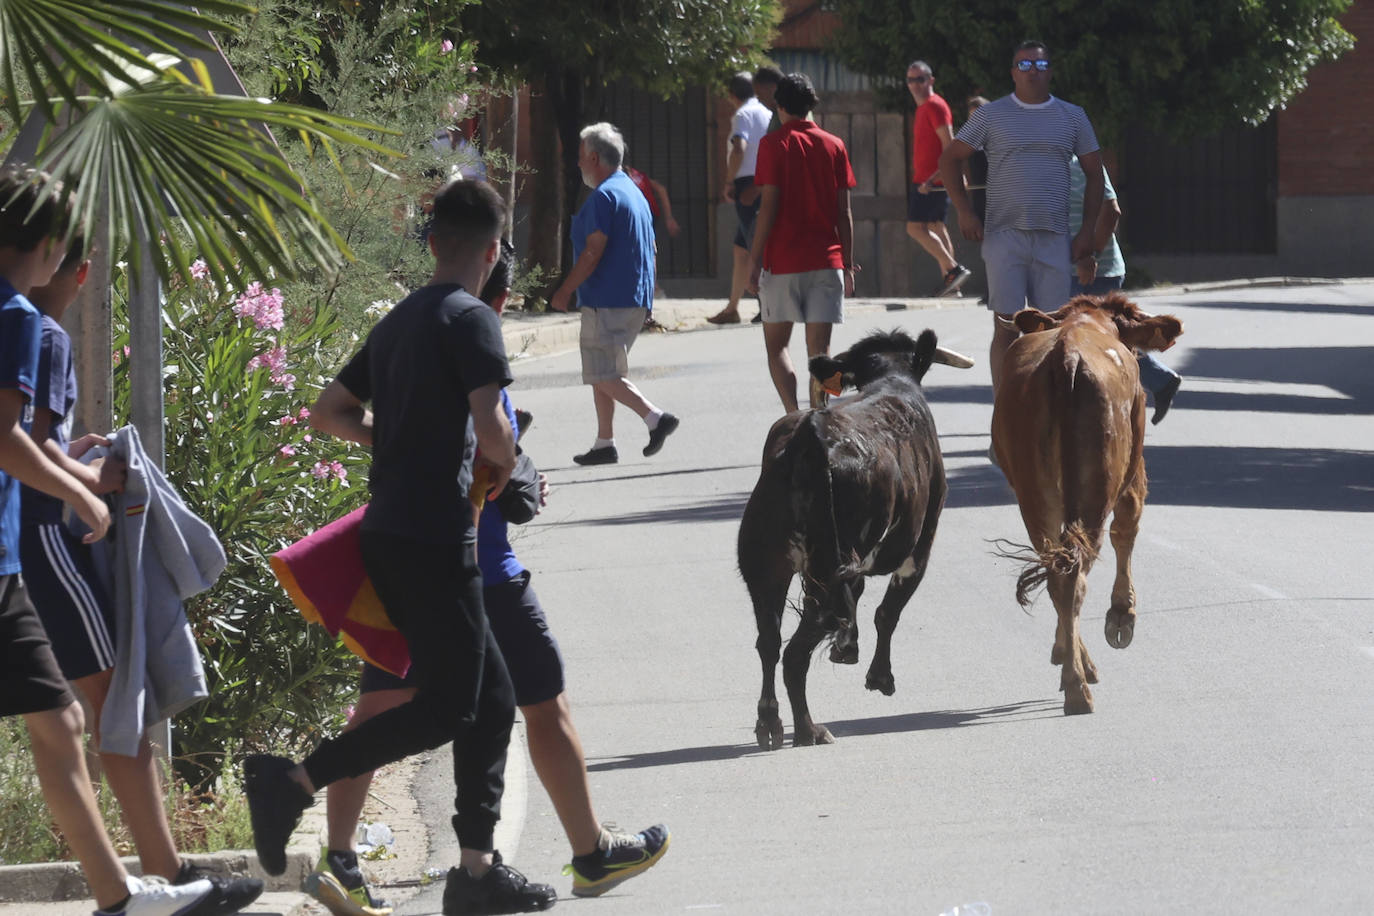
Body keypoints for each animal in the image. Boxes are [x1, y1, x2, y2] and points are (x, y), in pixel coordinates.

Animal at [741, 333, 967, 747]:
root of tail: (809, 438)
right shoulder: (919, 549)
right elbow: (888, 612)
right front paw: (879, 676)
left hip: (764, 565)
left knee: (769, 641)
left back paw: (772, 724)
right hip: (824, 571)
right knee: (797, 651)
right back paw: (809, 729)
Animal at [994, 293, 1187, 714]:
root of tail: (1065, 356)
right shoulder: (1134, 473)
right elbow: (1126, 532)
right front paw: (1122, 617)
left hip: (1034, 494)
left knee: (1058, 572)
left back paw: (1074, 668)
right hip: (1100, 485)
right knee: (1077, 574)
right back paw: (1078, 685)